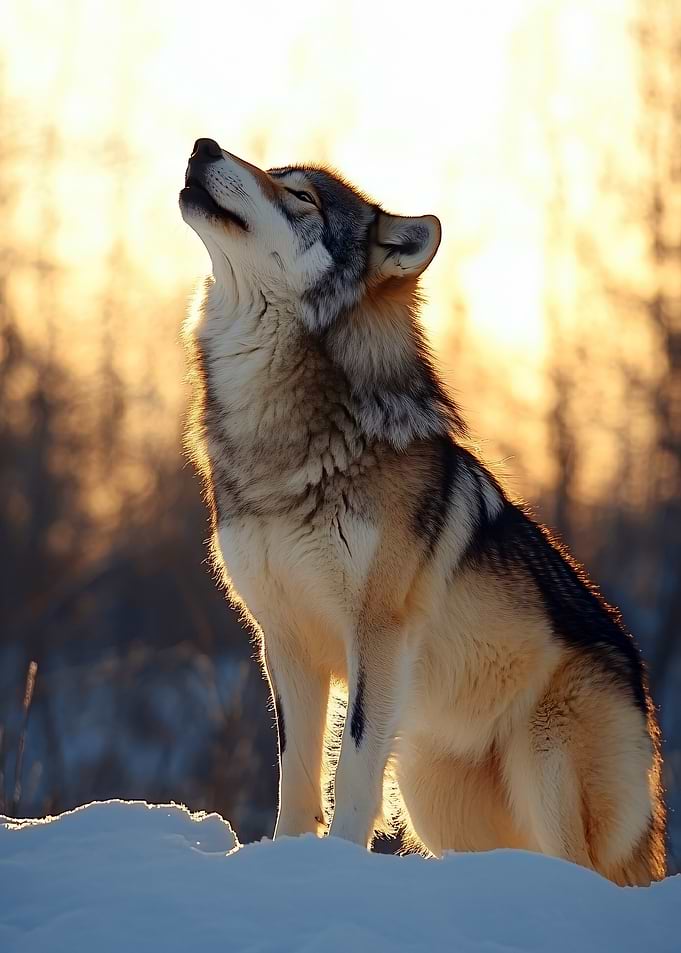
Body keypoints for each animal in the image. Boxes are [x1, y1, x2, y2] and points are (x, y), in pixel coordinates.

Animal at [179, 137, 666, 885]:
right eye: (274, 172)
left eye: (301, 197)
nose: (203, 146)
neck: (279, 438)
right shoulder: (284, 639)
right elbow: (296, 775)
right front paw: (287, 865)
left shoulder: (376, 631)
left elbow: (350, 770)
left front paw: (334, 870)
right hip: (433, 794)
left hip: (547, 761)